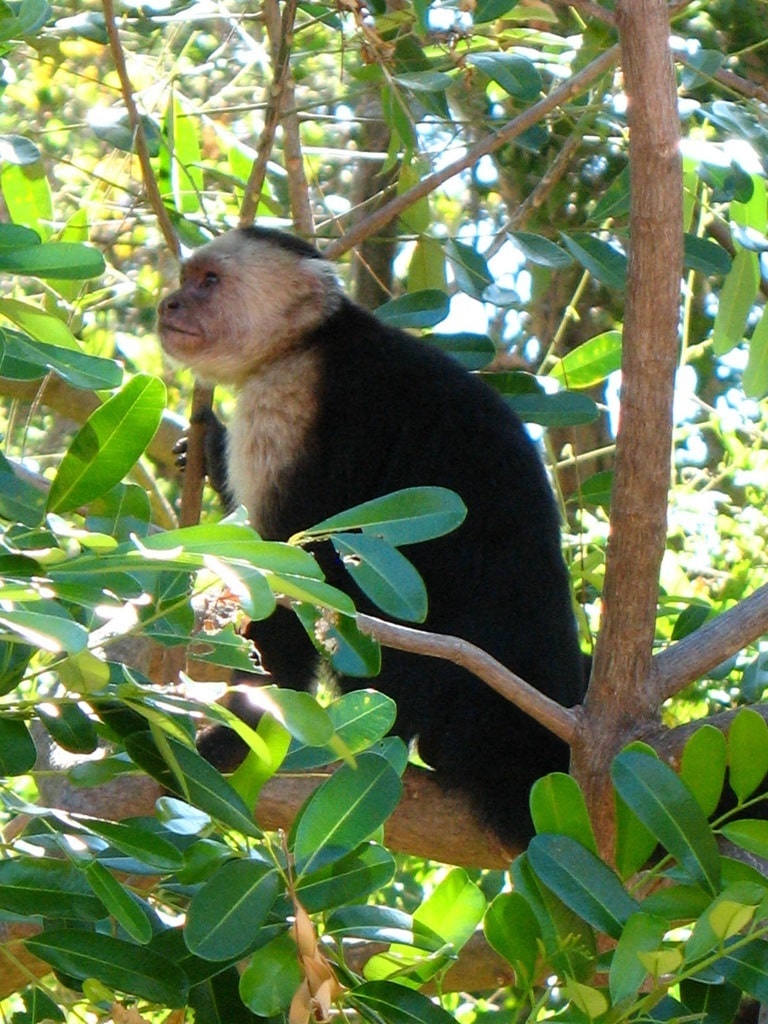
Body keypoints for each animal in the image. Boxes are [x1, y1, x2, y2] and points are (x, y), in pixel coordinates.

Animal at [157, 228, 589, 843]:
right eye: (185, 278)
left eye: (209, 282)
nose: (169, 304)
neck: (310, 339)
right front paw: (207, 449)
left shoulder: (290, 404)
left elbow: (298, 571)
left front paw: (244, 726)